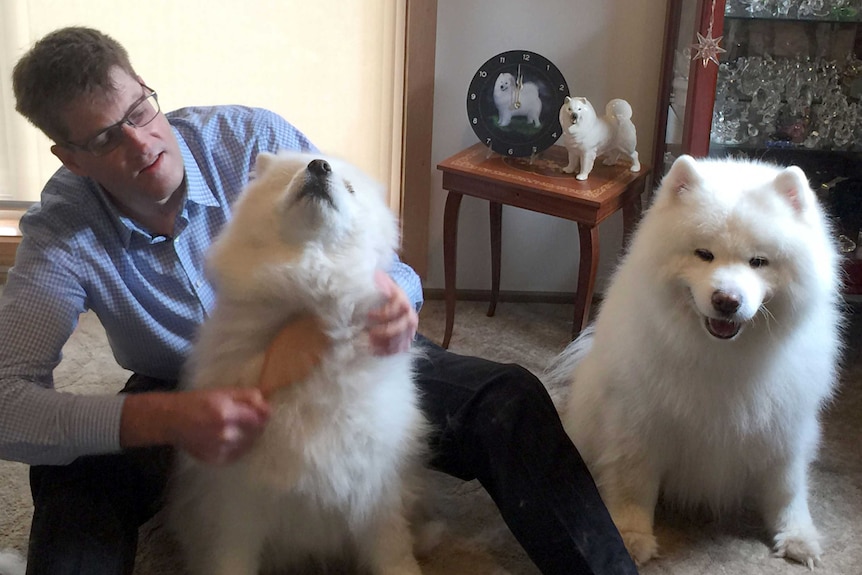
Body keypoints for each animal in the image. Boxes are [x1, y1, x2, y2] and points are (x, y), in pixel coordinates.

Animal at [167, 151, 430, 572]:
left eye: (351, 188)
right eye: (292, 173)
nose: (319, 166)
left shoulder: (375, 483)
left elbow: (392, 550)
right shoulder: (238, 501)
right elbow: (231, 558)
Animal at [548, 156, 844, 568]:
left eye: (758, 262)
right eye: (704, 254)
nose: (727, 301)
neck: (721, 356)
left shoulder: (783, 427)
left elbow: (786, 488)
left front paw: (797, 536)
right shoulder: (638, 423)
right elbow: (632, 486)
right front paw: (631, 537)